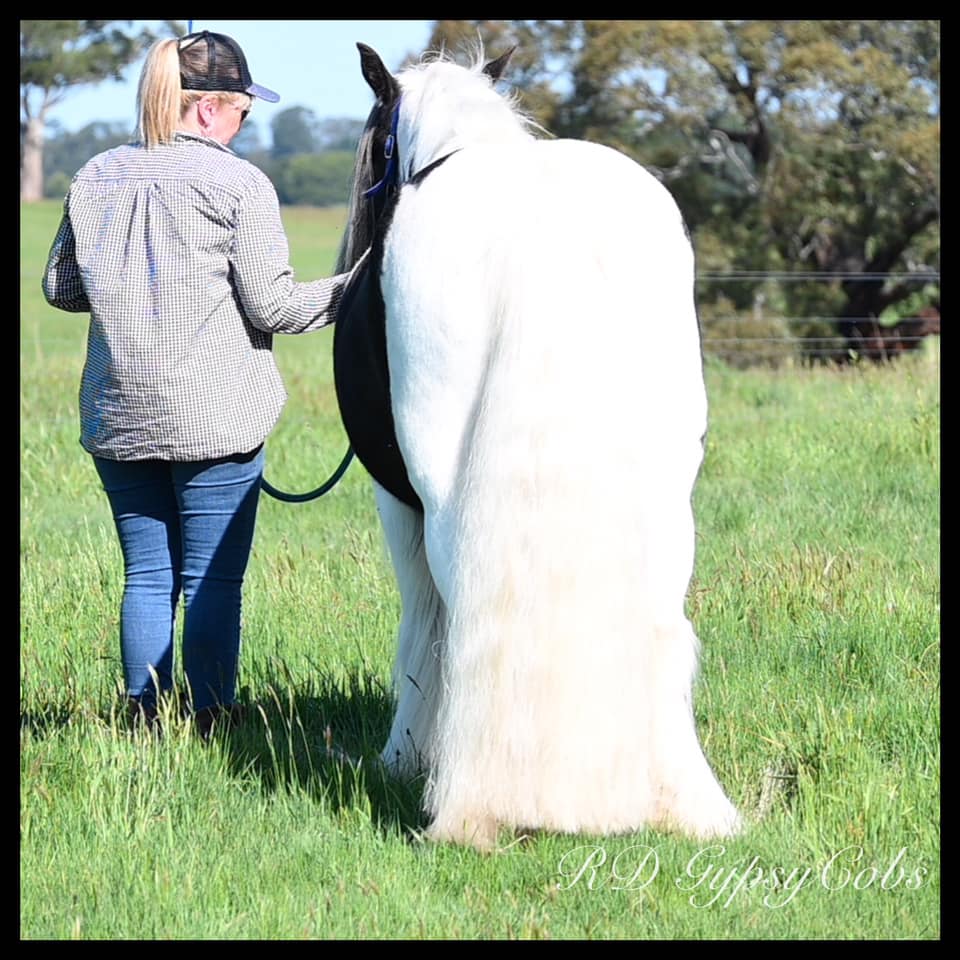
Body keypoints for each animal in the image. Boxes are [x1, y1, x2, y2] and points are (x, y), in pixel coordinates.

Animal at [332, 43, 742, 850]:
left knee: (460, 615)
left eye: (373, 148)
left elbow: (421, 624)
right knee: (662, 620)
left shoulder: (396, 499)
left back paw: (464, 805)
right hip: (671, 493)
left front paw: (402, 757)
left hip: (439, 490)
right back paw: (692, 804)